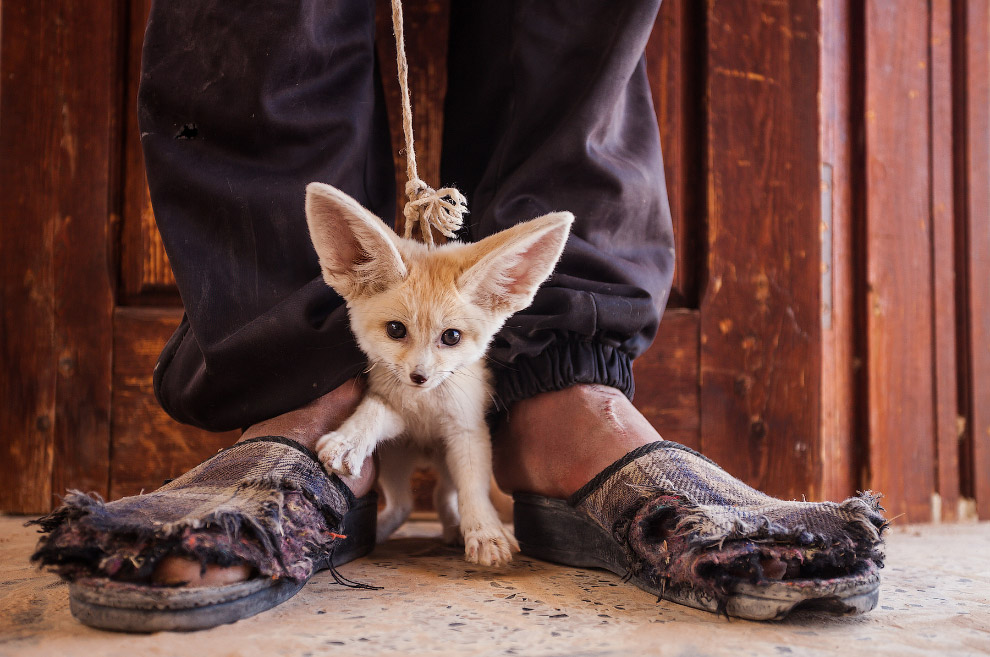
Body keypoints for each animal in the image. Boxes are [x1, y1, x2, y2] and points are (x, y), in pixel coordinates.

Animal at [306, 182, 576, 568]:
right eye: (395, 330)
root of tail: (426, 453)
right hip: (395, 462)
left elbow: (473, 491)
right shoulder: (397, 414)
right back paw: (381, 531)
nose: (419, 377)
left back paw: (454, 529)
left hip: (444, 463)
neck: (425, 409)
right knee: (405, 505)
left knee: (442, 498)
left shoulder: (466, 432)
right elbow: (374, 409)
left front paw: (486, 532)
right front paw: (350, 439)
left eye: (451, 337)